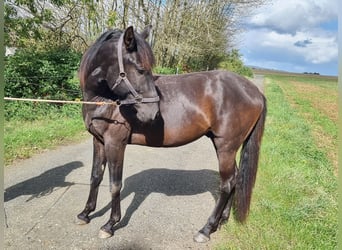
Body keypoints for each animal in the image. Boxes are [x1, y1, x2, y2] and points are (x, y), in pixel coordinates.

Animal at [77, 26, 268, 243]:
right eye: (141, 69)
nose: (153, 113)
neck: (105, 100)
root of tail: (254, 91)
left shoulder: (115, 143)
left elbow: (115, 184)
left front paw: (110, 224)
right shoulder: (99, 141)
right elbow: (95, 177)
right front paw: (85, 214)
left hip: (226, 147)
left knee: (227, 184)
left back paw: (206, 229)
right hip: (226, 147)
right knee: (234, 179)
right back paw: (223, 220)